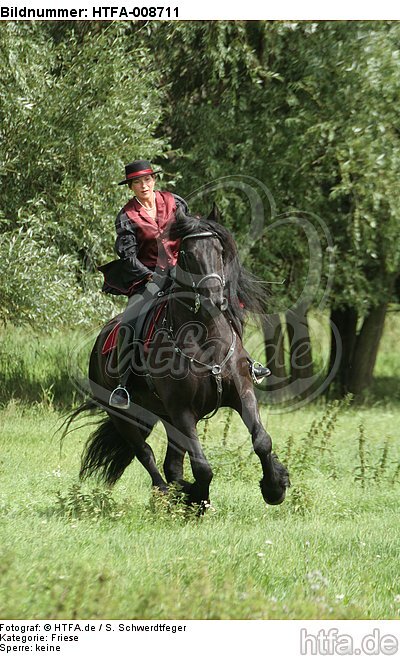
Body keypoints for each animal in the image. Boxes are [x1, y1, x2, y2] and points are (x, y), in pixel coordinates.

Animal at [66, 205, 290, 510]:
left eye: (219, 250)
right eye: (187, 254)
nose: (214, 299)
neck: (205, 337)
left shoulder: (241, 394)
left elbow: (262, 441)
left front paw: (275, 487)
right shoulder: (182, 411)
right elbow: (202, 467)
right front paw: (196, 499)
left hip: (163, 417)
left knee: (171, 464)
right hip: (126, 416)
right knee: (145, 453)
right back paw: (167, 495)